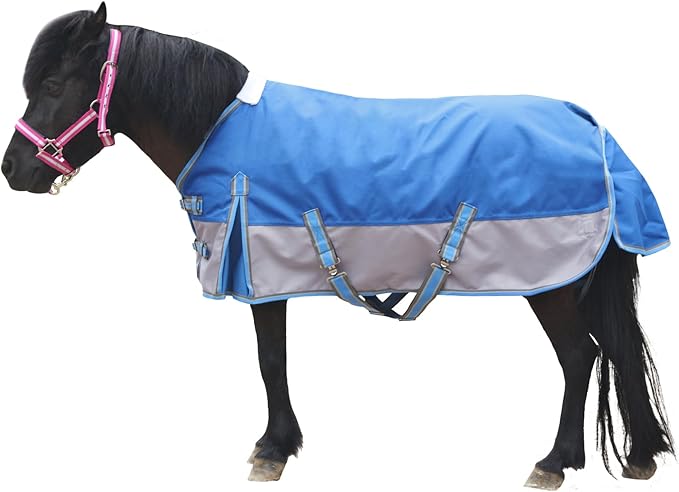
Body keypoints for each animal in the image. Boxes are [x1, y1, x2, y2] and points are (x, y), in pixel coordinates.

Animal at [1, 3, 674, 489]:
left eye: (54, 82)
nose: (13, 170)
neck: (219, 129)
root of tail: (593, 129)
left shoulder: (260, 277)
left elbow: (271, 361)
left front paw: (273, 449)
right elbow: (275, 361)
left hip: (552, 285)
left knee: (580, 357)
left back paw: (554, 461)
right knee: (612, 350)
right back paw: (637, 456)